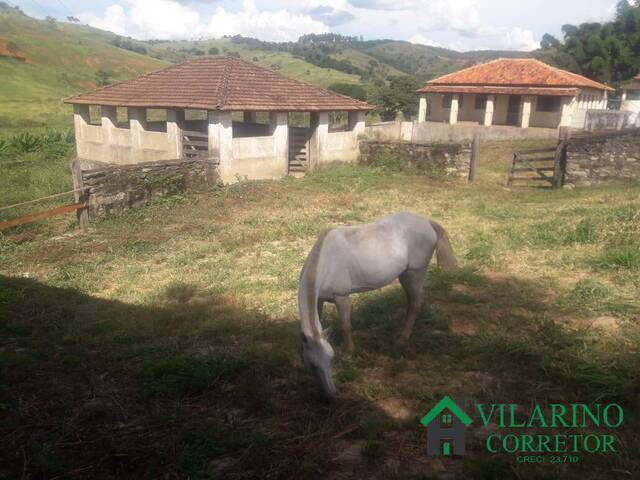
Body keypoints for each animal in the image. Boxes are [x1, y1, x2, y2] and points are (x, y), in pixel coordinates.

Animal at [298, 212, 458, 400]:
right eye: (312, 364)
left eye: (331, 358)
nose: (331, 395)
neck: (326, 262)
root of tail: (427, 222)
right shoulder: (319, 299)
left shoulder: (342, 298)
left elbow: (345, 325)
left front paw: (349, 353)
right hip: (405, 276)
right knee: (411, 301)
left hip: (415, 274)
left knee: (416, 303)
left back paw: (402, 338)